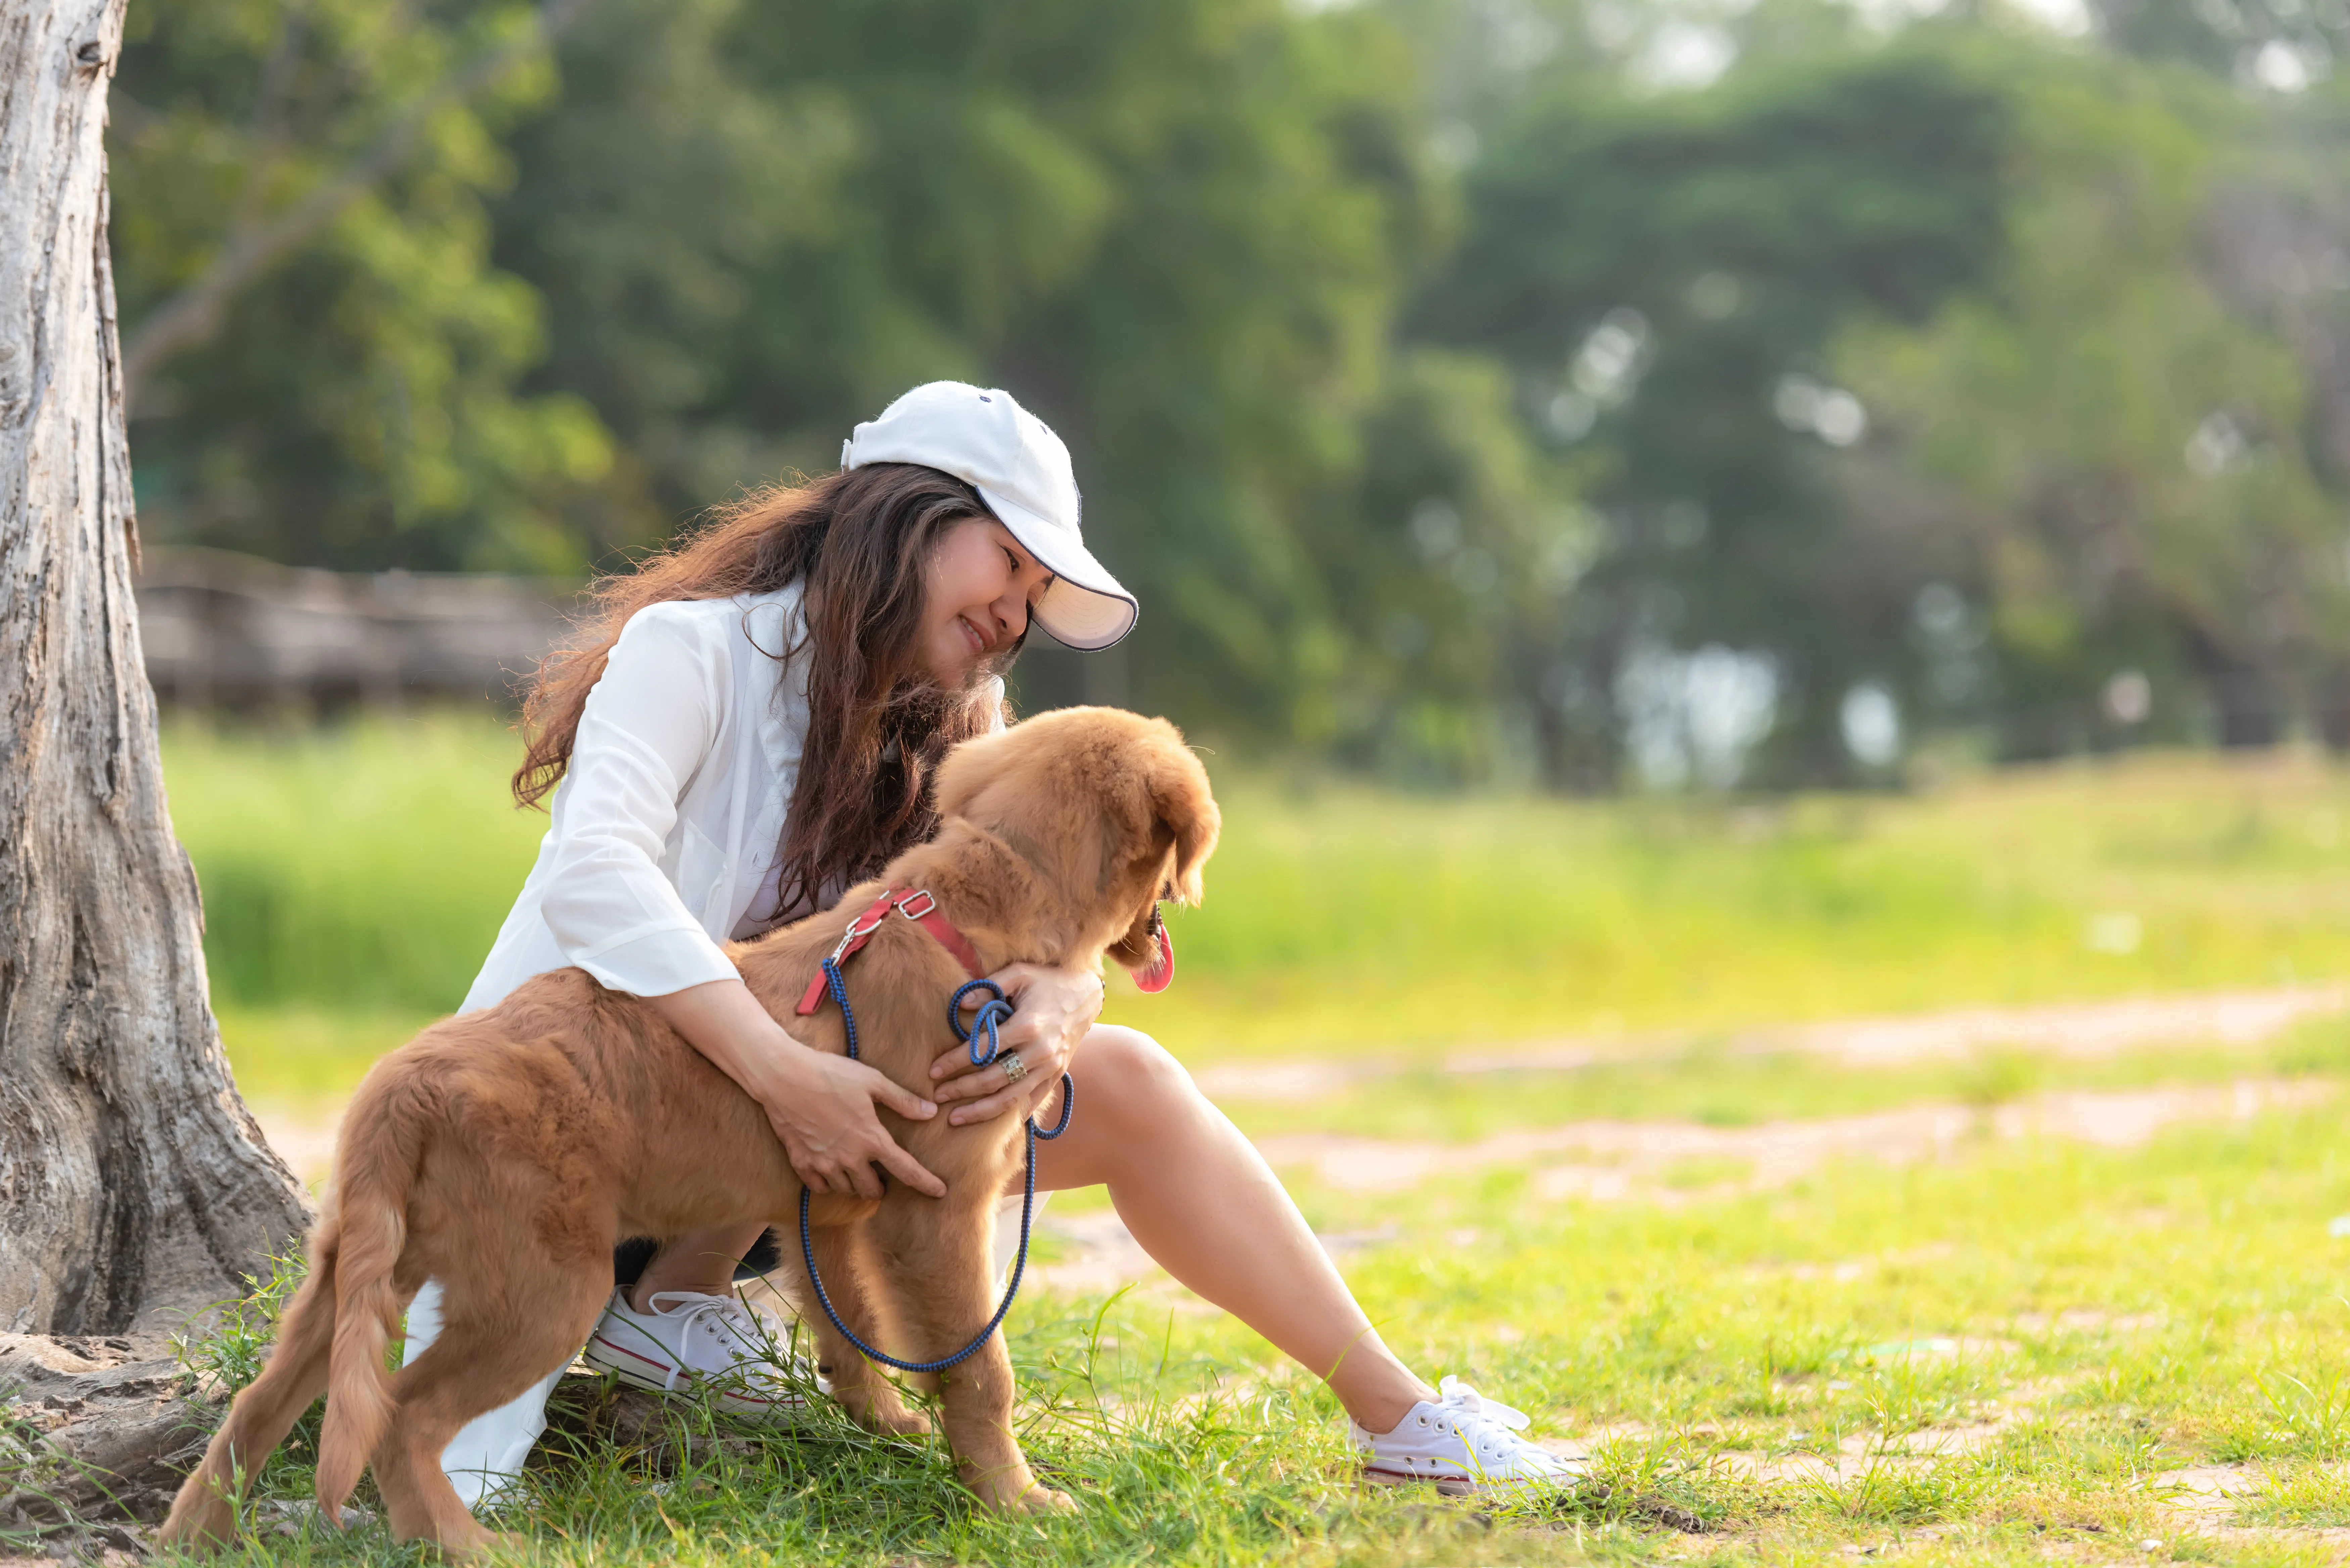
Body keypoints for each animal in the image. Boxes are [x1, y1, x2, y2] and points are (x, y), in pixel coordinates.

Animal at [158, 710, 1222, 1561]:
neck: (973, 912)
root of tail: (404, 1081)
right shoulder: (938, 1208)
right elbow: (977, 1367)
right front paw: (1016, 1501)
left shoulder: (834, 1208)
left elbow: (852, 1327)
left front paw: (884, 1425)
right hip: (543, 1286)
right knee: (402, 1416)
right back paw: (467, 1543)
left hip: (353, 1264)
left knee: (262, 1406)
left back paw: (194, 1538)